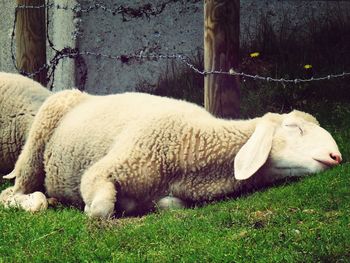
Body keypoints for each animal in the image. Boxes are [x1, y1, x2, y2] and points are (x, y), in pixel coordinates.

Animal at [0, 89, 340, 218]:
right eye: (294, 127)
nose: (336, 157)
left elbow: (169, 205)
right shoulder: (103, 171)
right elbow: (99, 211)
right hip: (33, 151)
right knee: (12, 192)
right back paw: (36, 200)